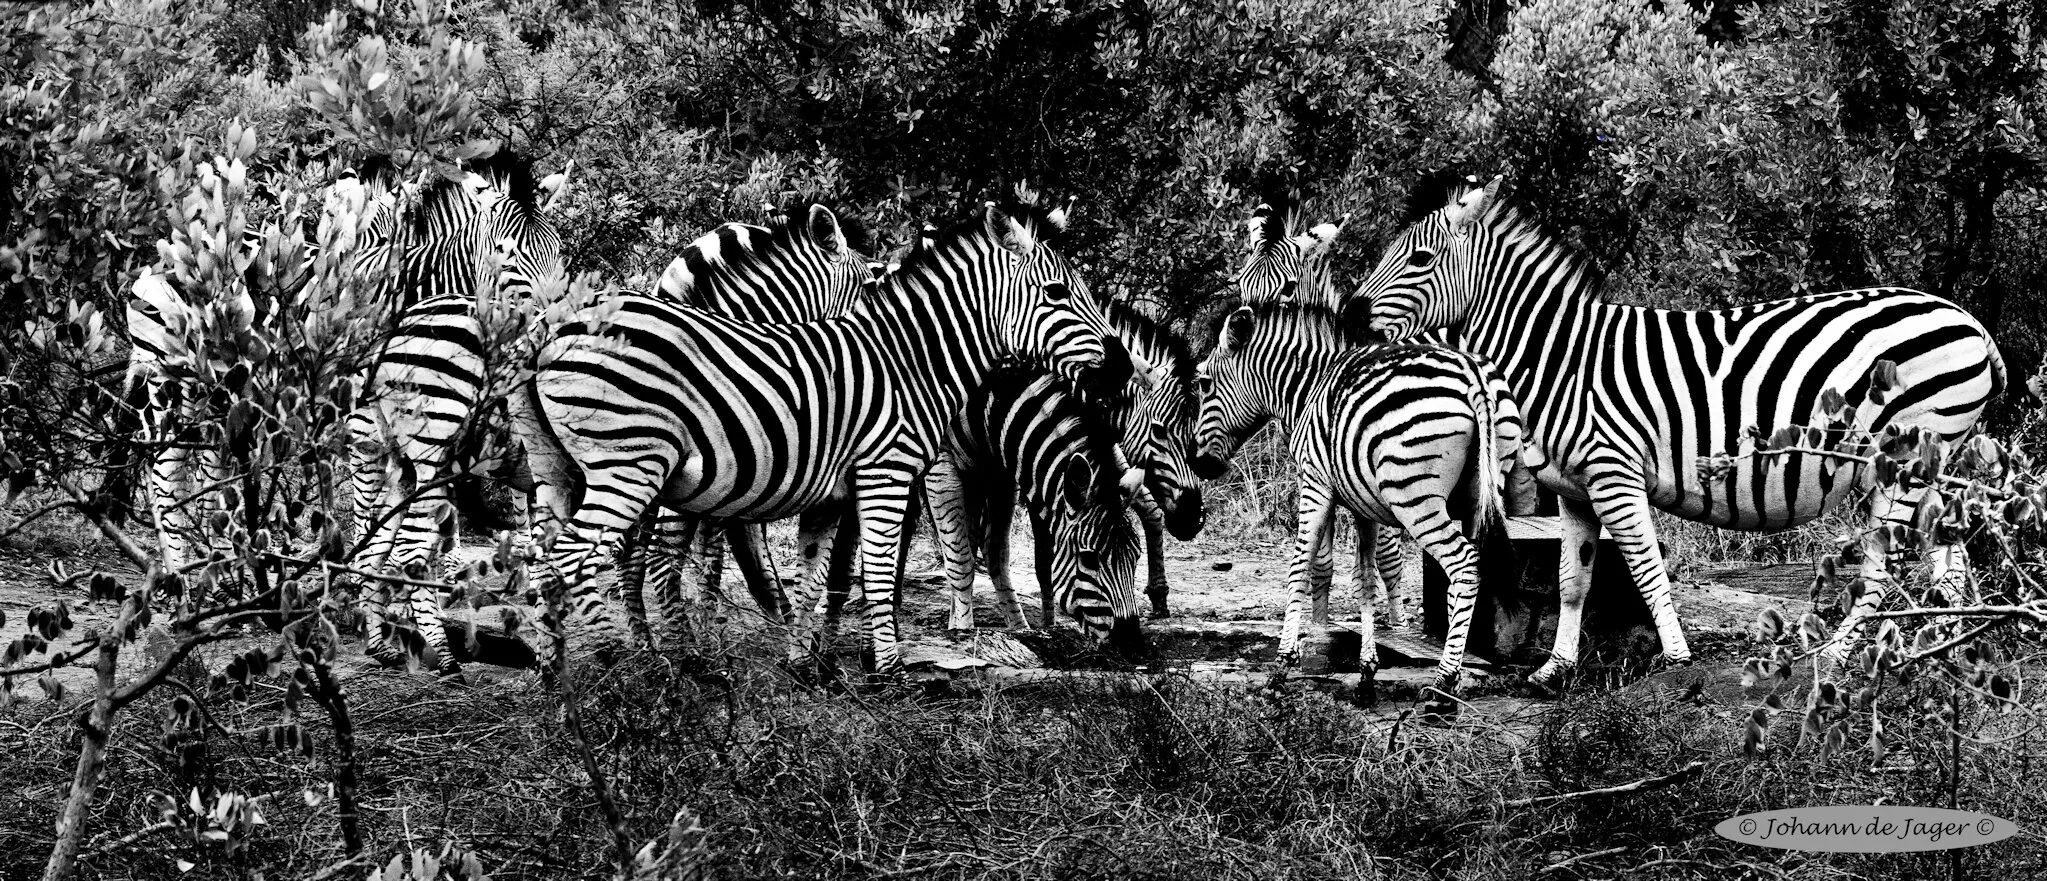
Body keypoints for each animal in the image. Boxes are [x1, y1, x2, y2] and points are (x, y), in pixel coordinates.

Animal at [514, 194, 1121, 675]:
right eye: (1058, 292)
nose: (1116, 371)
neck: (909, 358)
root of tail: (552, 326)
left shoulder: (831, 494)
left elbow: (817, 571)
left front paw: (806, 663)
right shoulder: (887, 472)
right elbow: (880, 569)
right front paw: (888, 671)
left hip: (558, 471)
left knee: (547, 560)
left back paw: (560, 678)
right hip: (632, 466)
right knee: (575, 560)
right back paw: (626, 671)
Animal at [951, 364, 1146, 647]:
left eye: (1136, 556)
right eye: (1088, 559)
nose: (1132, 643)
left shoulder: (1004, 470)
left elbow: (1028, 559)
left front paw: (1039, 628)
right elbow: (960, 558)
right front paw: (961, 629)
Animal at [1191, 300, 1529, 699]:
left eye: (1203, 383)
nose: (1199, 464)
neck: (1307, 387)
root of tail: (1471, 373)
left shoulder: (1315, 483)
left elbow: (1299, 566)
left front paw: (1283, 665)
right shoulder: (1364, 505)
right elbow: (1366, 578)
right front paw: (1367, 671)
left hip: (1415, 495)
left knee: (1463, 563)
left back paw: (1443, 681)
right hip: (1486, 486)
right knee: (1473, 568)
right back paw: (1455, 670)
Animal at [1352, 173, 2006, 682]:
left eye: (1420, 259)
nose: (1352, 317)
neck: (1559, 356)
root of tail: (1971, 323)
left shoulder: (1613, 473)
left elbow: (1646, 569)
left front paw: (1676, 658)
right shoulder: (1574, 490)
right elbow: (1572, 579)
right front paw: (1554, 669)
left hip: (1903, 462)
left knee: (1880, 572)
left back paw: (1838, 657)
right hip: (1934, 468)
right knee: (1951, 565)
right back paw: (1954, 655)